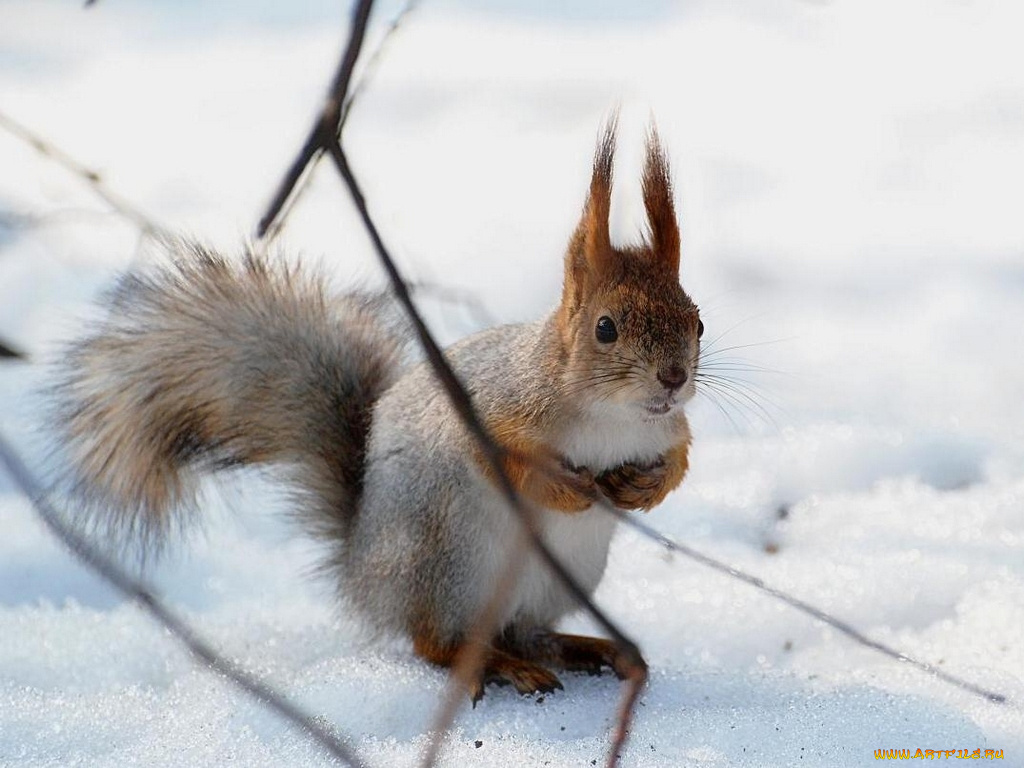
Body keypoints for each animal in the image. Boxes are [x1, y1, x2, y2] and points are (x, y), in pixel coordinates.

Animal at [56, 121, 704, 704]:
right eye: (605, 328)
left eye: (697, 320)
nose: (674, 378)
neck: (612, 417)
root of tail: (362, 576)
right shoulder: (495, 404)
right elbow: (499, 458)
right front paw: (565, 489)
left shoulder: (666, 427)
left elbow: (679, 453)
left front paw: (646, 487)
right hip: (450, 564)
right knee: (437, 644)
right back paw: (499, 667)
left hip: (553, 578)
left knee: (525, 631)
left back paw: (585, 649)